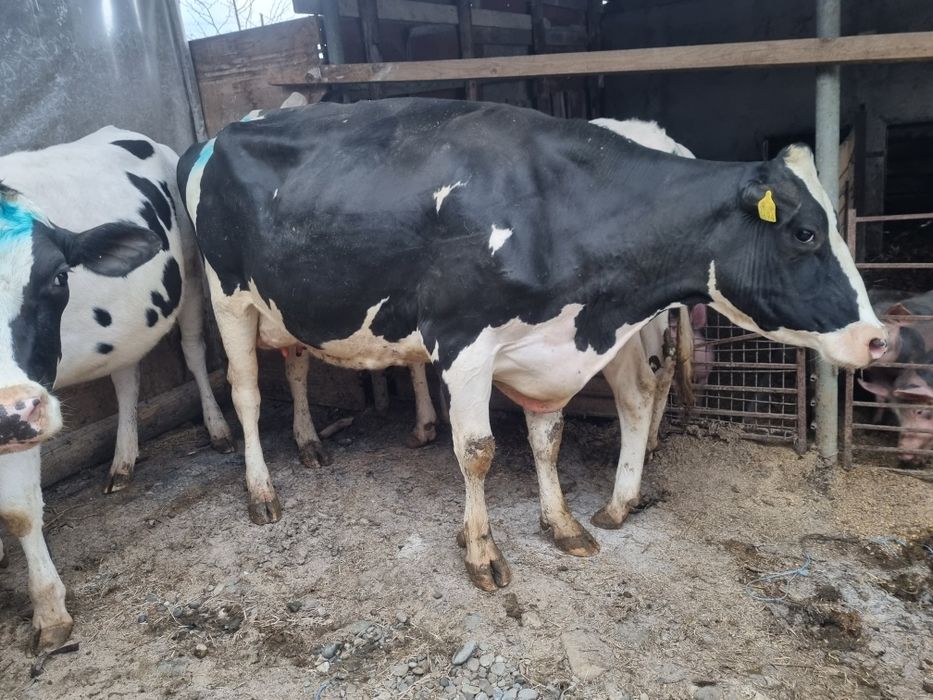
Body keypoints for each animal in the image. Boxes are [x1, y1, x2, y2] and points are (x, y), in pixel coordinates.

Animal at [178, 98, 885, 591]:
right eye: (804, 233)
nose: (877, 339)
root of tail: (220, 132)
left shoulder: (547, 350)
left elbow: (549, 439)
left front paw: (563, 524)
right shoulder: (463, 342)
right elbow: (477, 452)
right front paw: (482, 552)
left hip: (286, 306)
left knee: (295, 366)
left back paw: (309, 444)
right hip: (228, 297)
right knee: (246, 394)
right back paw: (261, 491)